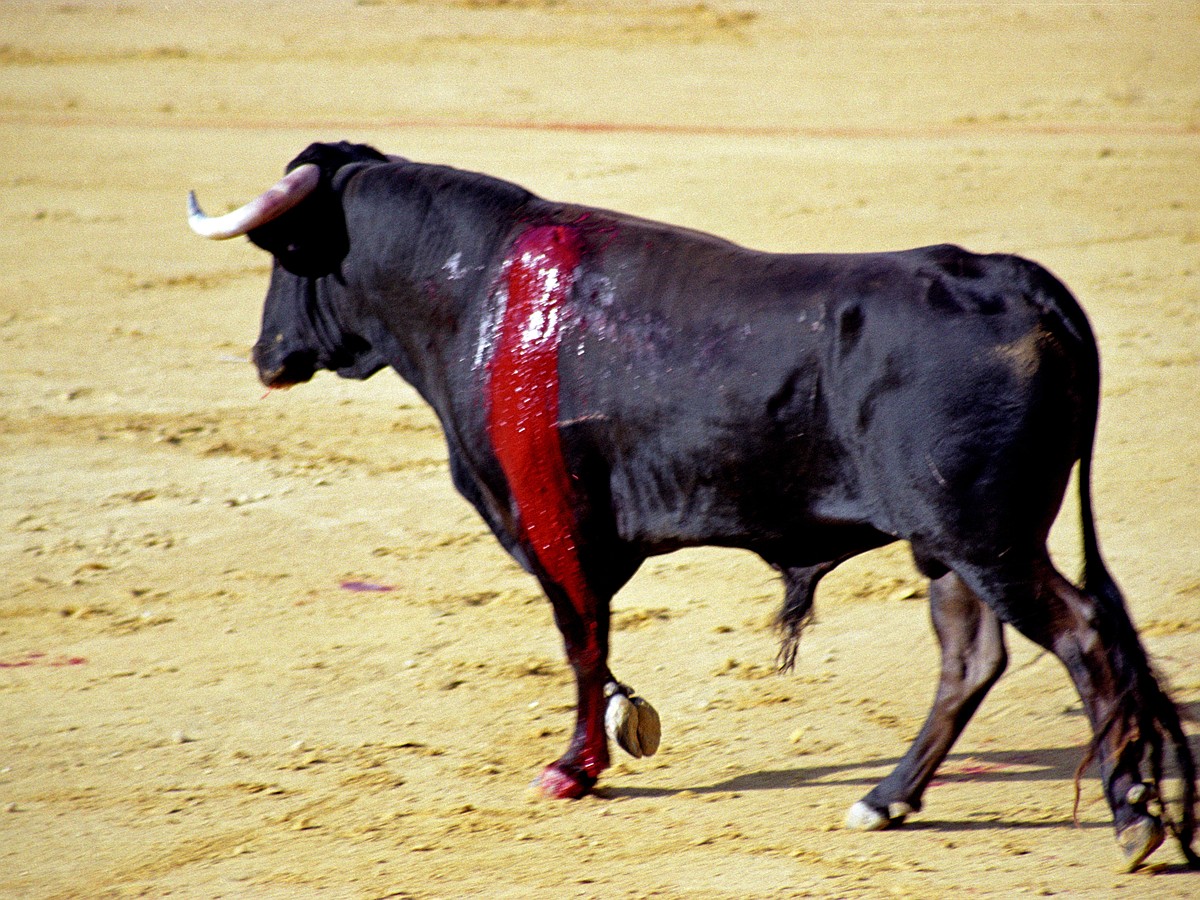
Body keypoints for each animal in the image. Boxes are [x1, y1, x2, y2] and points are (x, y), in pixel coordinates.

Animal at [192, 142, 1195, 873]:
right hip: (949, 544)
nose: (265, 355)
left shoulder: (551, 528)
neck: (473, 292)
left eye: (283, 257)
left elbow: (582, 643)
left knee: (1081, 636)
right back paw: (887, 800)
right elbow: (593, 646)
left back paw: (1133, 820)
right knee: (972, 658)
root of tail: (1011, 279)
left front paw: (573, 770)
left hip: (986, 537)